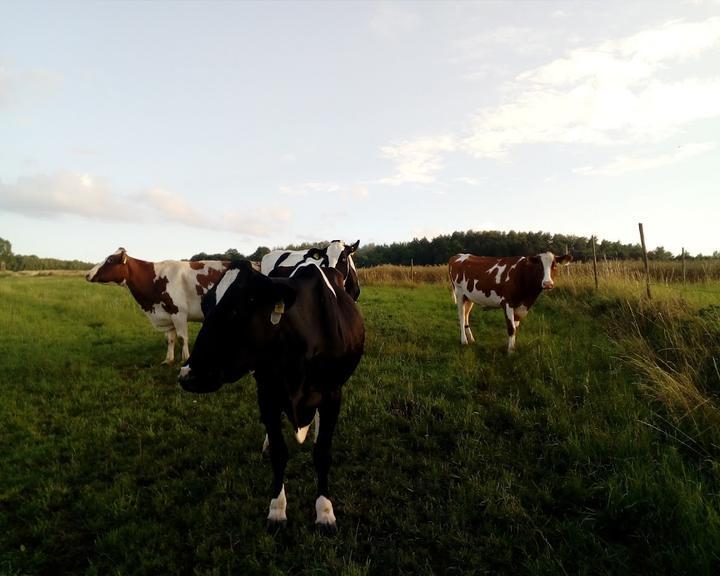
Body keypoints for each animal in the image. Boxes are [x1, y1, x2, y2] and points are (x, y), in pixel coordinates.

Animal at [86, 248, 231, 364]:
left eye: (110, 260)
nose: (87, 274)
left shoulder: (179, 312)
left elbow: (182, 338)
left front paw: (184, 360)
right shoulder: (168, 314)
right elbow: (170, 339)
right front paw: (168, 360)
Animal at [177, 260, 362, 532]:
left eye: (241, 306)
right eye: (206, 306)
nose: (187, 375)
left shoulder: (332, 394)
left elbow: (322, 453)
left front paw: (325, 512)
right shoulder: (267, 394)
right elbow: (278, 451)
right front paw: (277, 510)